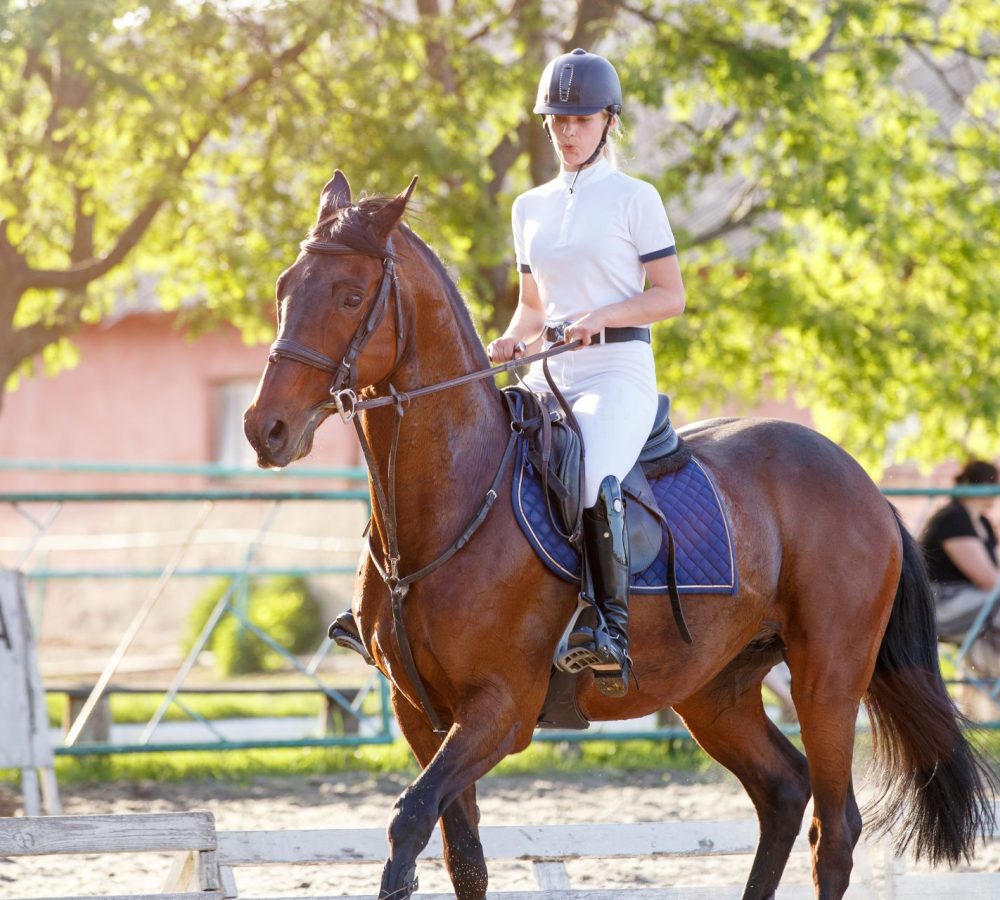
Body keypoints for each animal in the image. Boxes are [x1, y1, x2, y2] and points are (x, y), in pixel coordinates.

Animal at [244, 170, 996, 900]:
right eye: (284, 288)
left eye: (349, 296)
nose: (264, 429)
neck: (452, 505)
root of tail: (861, 481)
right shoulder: (417, 710)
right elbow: (463, 858)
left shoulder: (500, 707)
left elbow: (408, 823)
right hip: (715, 688)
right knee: (782, 790)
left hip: (828, 676)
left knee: (834, 830)